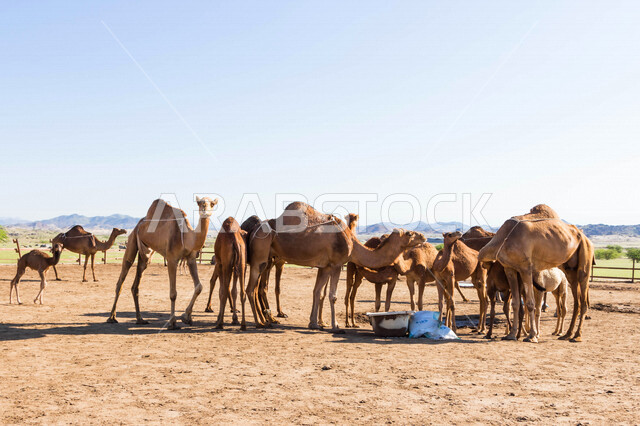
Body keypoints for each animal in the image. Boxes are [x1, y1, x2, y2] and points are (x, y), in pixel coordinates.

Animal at [107, 197, 218, 329]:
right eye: (200, 203)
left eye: (212, 204)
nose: (205, 210)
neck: (186, 236)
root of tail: (139, 224)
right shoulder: (171, 259)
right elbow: (173, 293)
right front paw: (172, 322)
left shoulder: (190, 258)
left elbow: (199, 287)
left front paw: (186, 317)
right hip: (132, 240)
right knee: (123, 273)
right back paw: (111, 318)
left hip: (146, 253)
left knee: (136, 283)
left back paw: (140, 319)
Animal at [245, 202, 426, 331]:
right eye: (409, 233)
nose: (423, 237)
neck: (352, 242)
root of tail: (253, 231)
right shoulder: (337, 264)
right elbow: (332, 295)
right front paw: (336, 326)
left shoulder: (325, 266)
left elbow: (317, 292)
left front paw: (314, 323)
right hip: (261, 256)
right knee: (250, 289)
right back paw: (259, 323)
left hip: (266, 259)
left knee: (256, 288)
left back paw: (266, 321)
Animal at [478, 204, 594, 342]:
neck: (502, 239)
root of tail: (583, 236)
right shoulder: (509, 268)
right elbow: (515, 303)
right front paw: (511, 335)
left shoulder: (526, 268)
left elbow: (530, 303)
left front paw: (532, 335)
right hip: (570, 270)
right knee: (577, 300)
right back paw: (567, 334)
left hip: (585, 254)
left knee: (583, 295)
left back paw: (577, 335)